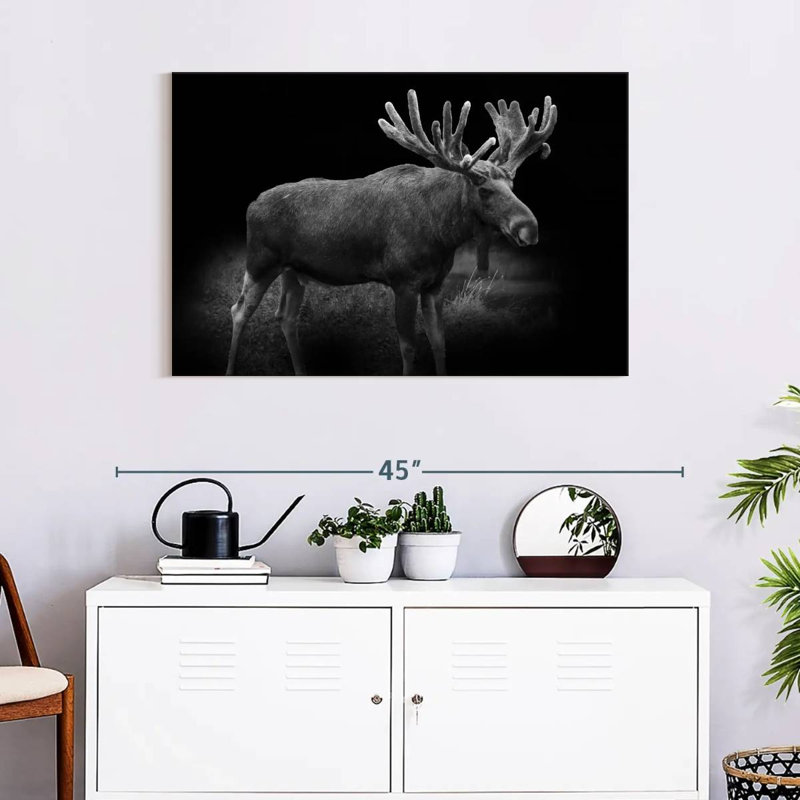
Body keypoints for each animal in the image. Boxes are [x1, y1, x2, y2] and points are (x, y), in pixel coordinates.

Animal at [225, 90, 557, 376]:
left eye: (512, 185)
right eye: (484, 189)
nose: (530, 228)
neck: (442, 235)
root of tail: (252, 205)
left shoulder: (435, 284)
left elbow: (439, 342)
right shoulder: (403, 280)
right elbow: (408, 348)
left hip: (293, 271)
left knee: (286, 316)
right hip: (260, 262)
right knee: (238, 309)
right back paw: (231, 370)